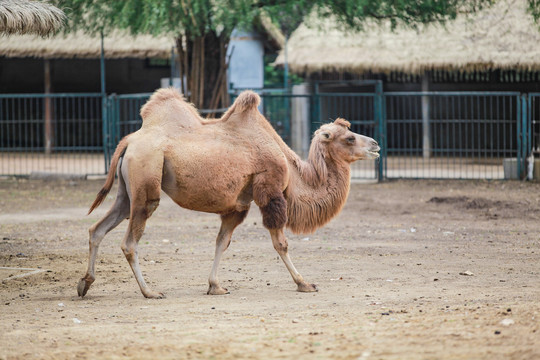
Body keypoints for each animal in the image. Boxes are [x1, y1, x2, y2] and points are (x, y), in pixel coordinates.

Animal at [78, 88, 380, 300]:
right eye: (349, 137)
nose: (376, 145)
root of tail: (128, 141)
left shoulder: (238, 206)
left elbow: (221, 242)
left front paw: (215, 286)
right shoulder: (270, 192)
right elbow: (281, 243)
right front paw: (304, 283)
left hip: (127, 191)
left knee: (97, 228)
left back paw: (85, 283)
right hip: (146, 183)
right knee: (130, 242)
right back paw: (150, 292)